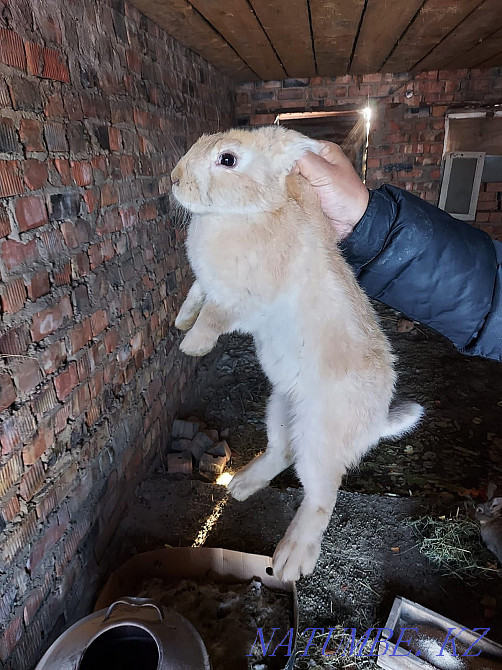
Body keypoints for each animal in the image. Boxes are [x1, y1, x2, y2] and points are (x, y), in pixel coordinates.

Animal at [171, 125, 423, 581]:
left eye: (228, 159)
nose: (174, 179)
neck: (247, 212)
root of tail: (374, 424)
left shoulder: (241, 299)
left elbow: (214, 316)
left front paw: (192, 345)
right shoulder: (208, 284)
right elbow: (196, 295)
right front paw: (182, 323)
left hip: (319, 437)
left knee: (321, 495)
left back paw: (292, 558)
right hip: (280, 407)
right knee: (282, 451)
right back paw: (241, 485)